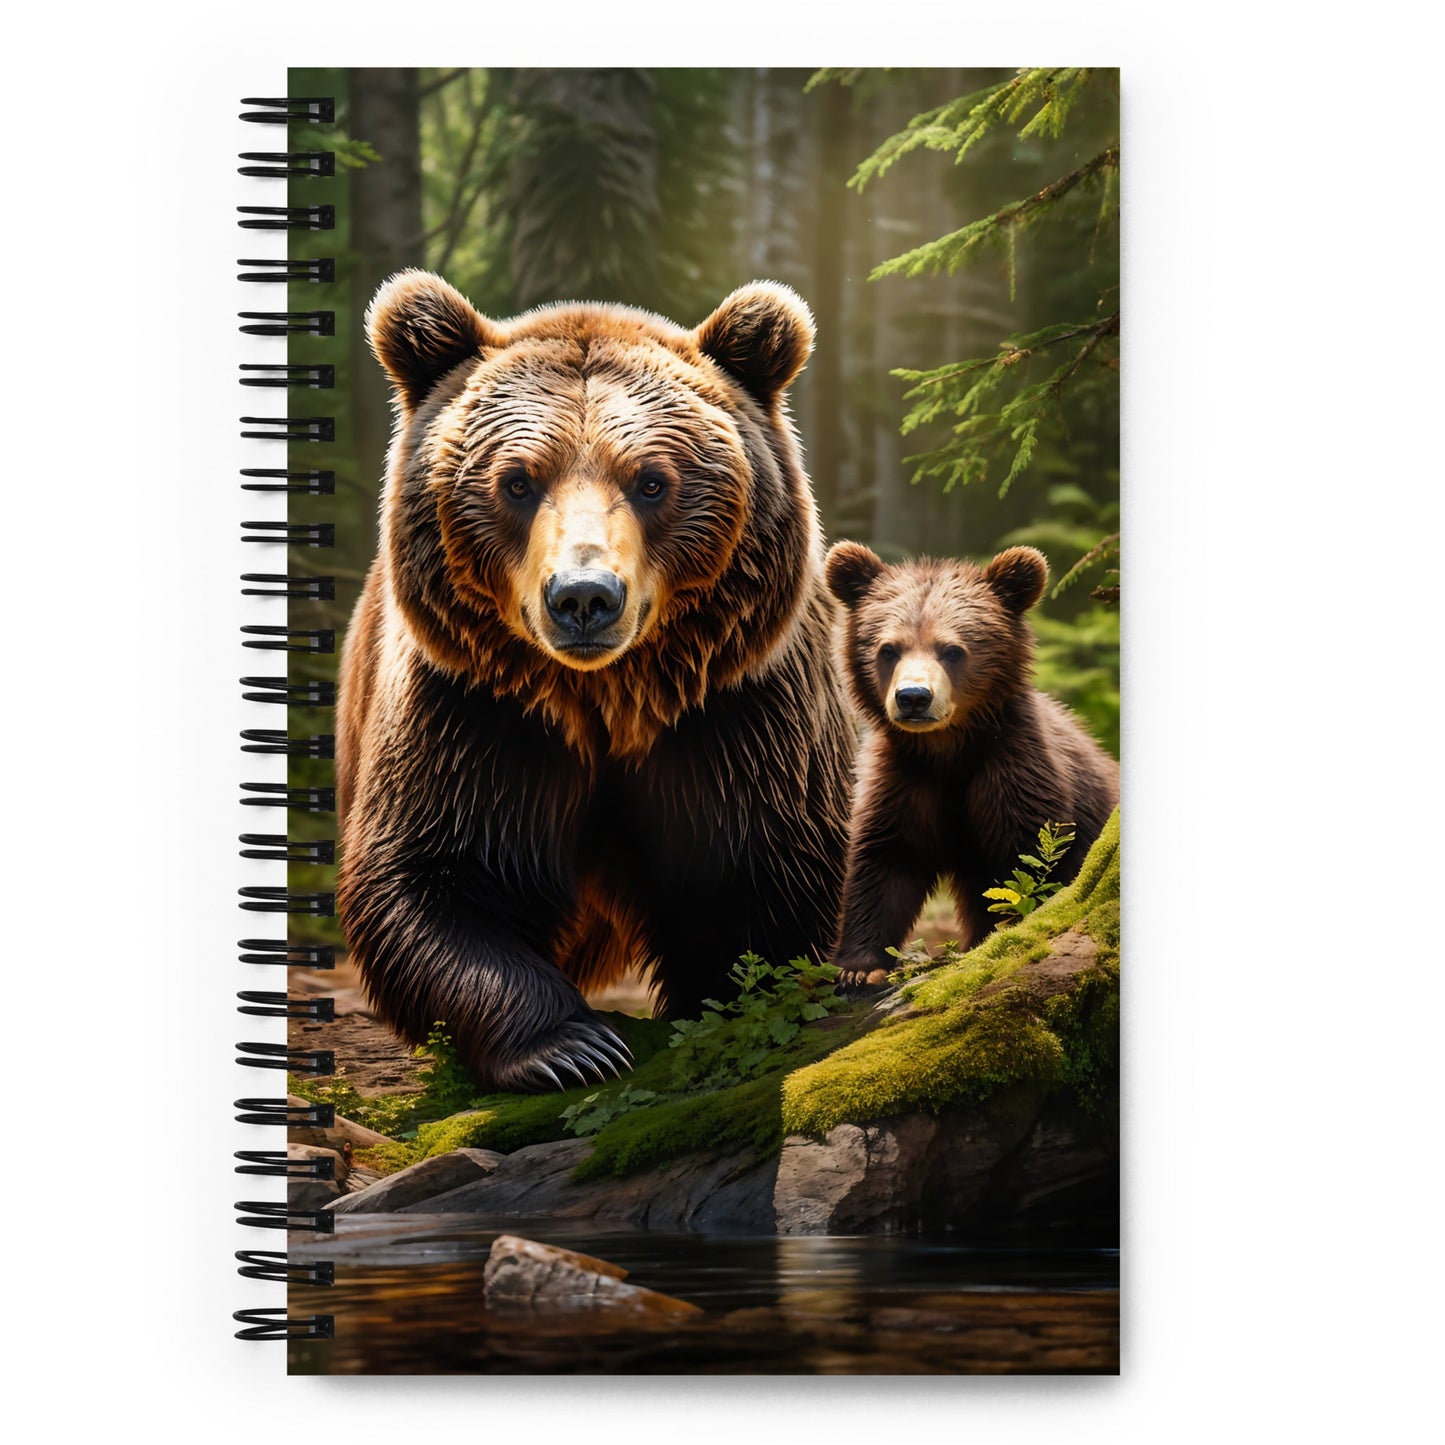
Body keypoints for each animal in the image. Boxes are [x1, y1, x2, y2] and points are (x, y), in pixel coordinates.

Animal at [335, 270, 856, 1093]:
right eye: (517, 481)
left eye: (651, 480)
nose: (583, 596)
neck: (607, 697)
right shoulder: (474, 710)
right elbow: (429, 876)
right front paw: (572, 1046)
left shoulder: (736, 711)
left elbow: (760, 878)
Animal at [823, 541, 1119, 988]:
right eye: (888, 649)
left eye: (952, 650)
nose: (913, 697)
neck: (948, 749)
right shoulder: (904, 778)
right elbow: (886, 861)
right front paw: (860, 967)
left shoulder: (1015, 771)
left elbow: (1026, 870)